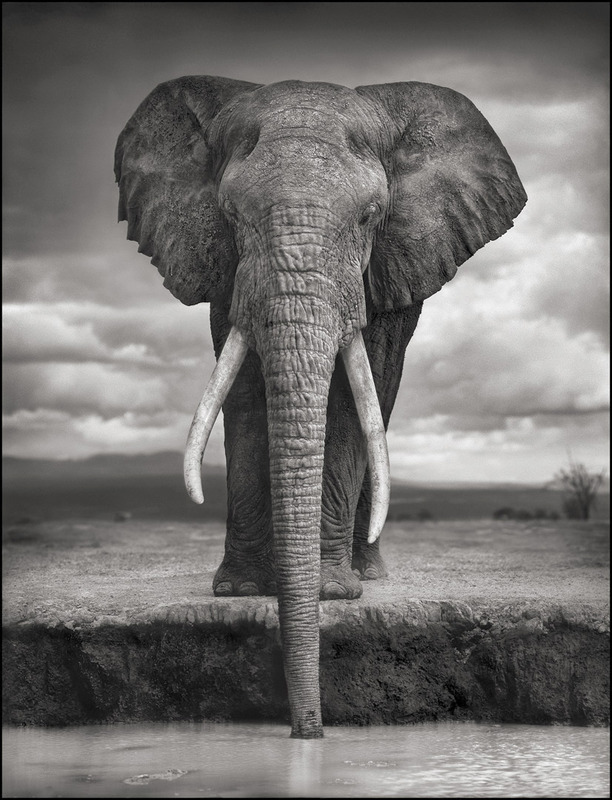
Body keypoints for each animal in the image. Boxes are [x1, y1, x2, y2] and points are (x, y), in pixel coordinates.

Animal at [115, 76, 526, 738]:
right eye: (231, 214)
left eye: (370, 215)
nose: (308, 731)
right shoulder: (227, 271)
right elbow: (245, 392)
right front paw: (242, 591)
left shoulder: (381, 267)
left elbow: (353, 400)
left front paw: (333, 594)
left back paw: (367, 574)